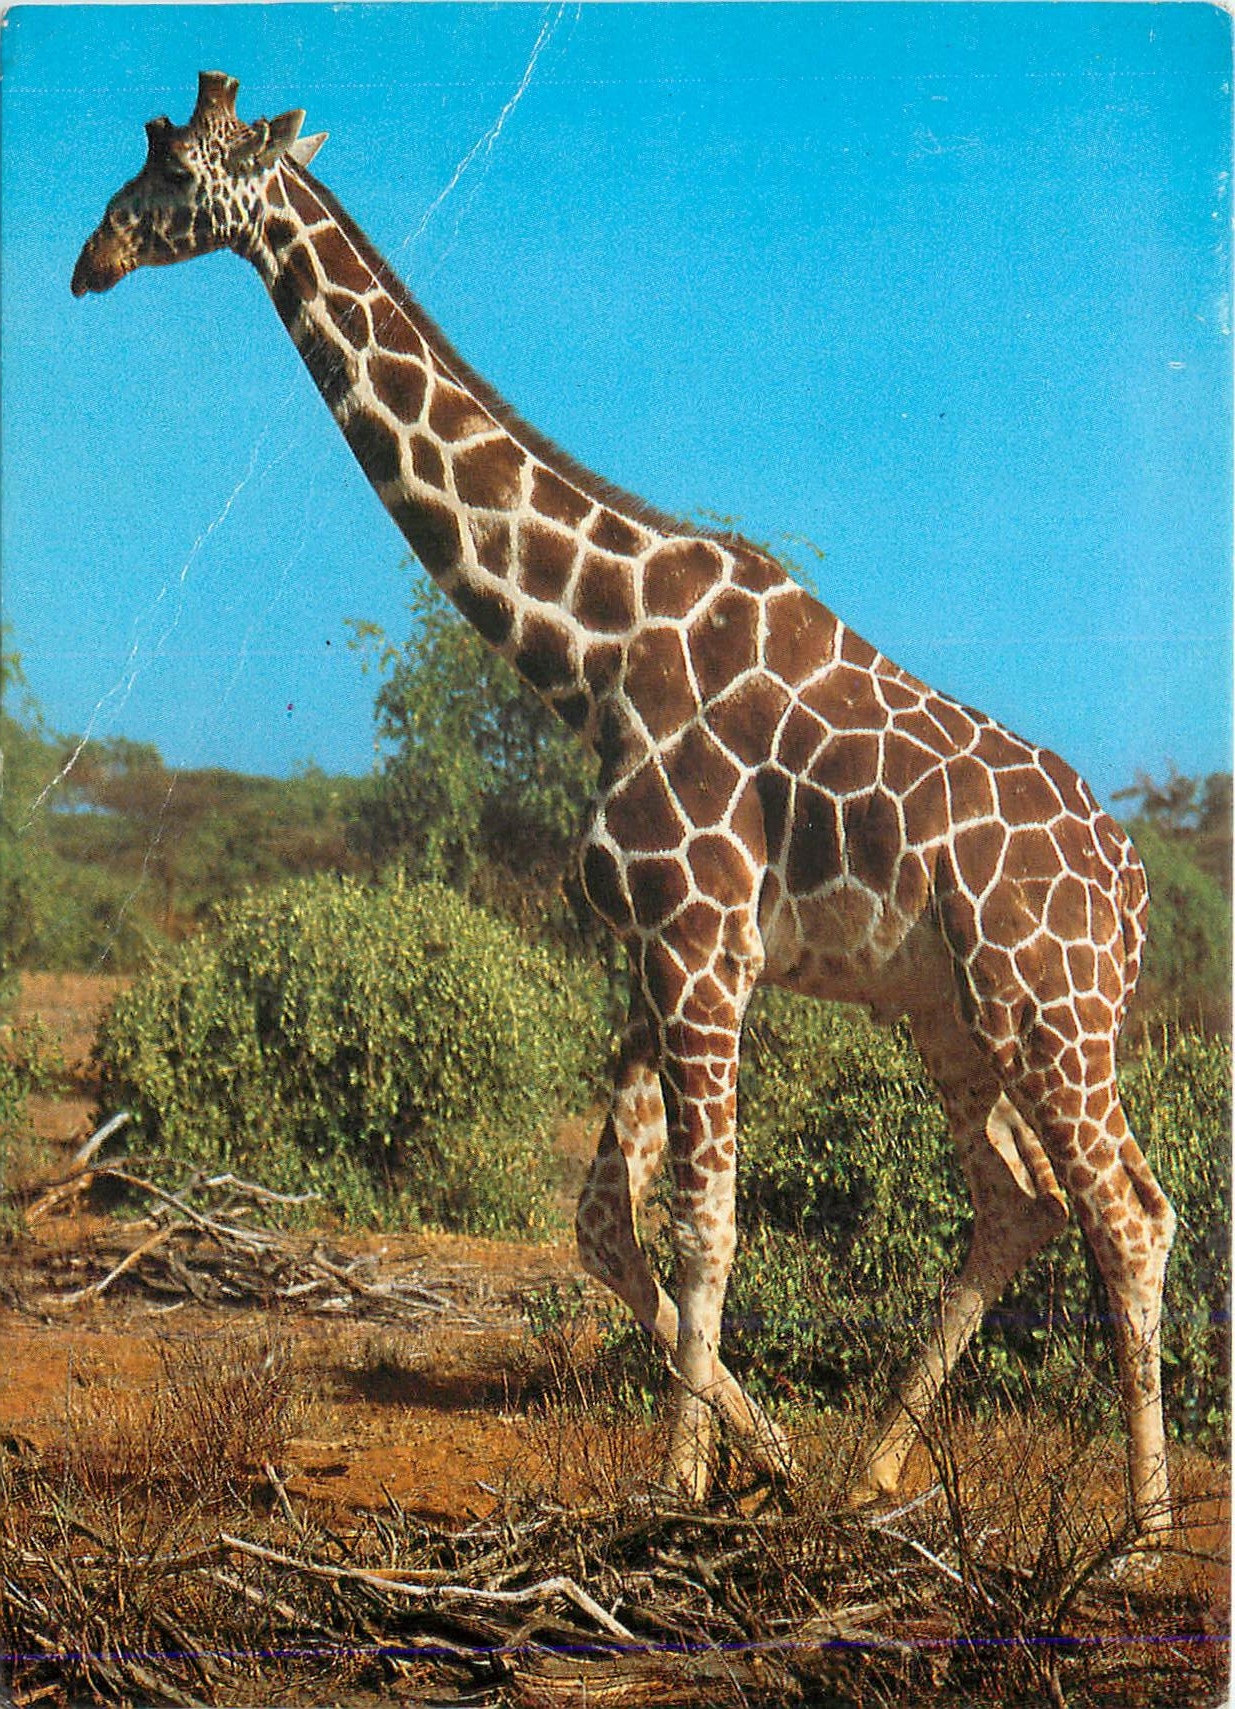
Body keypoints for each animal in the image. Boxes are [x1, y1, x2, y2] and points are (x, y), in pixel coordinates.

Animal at [73, 73, 1177, 1533]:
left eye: (171, 169)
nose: (88, 261)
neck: (590, 651)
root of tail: (1129, 883)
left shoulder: (701, 942)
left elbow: (705, 1220)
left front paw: (674, 1486)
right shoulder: (654, 949)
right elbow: (604, 1220)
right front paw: (761, 1458)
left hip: (1050, 1005)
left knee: (1127, 1212)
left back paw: (1139, 1528)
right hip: (944, 1011)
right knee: (1017, 1199)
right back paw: (866, 1473)